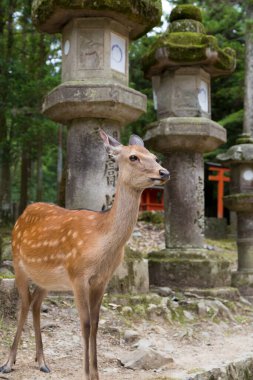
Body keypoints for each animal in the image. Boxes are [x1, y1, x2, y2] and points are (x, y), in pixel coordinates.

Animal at [0, 129, 170, 378]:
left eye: (155, 157)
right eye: (133, 157)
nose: (164, 172)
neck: (102, 241)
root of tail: (21, 214)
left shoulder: (102, 279)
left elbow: (96, 323)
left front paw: (96, 374)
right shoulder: (78, 274)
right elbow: (86, 323)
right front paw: (86, 373)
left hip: (47, 279)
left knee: (35, 304)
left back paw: (42, 361)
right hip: (18, 263)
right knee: (23, 305)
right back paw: (8, 362)